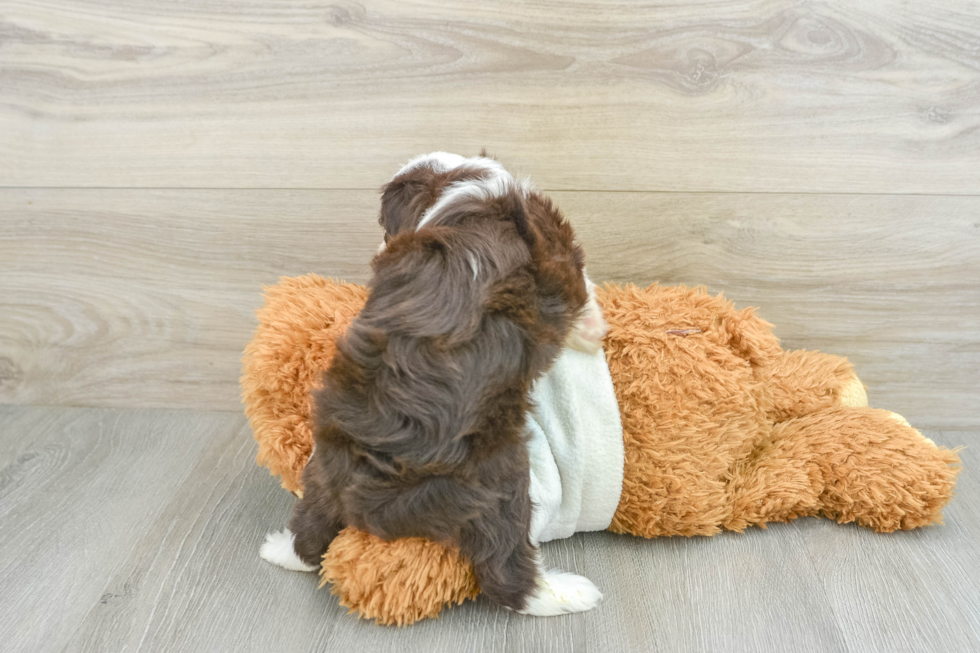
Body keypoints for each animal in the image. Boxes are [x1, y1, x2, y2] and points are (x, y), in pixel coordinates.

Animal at [264, 155, 604, 612]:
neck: (455, 185)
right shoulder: (559, 256)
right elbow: (581, 289)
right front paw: (593, 329)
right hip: (502, 485)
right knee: (505, 570)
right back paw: (566, 593)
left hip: (323, 466)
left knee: (312, 528)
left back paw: (279, 550)